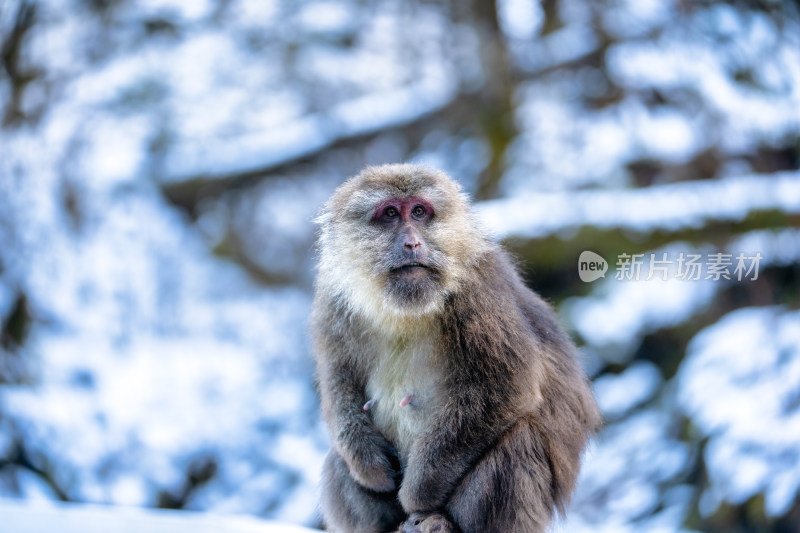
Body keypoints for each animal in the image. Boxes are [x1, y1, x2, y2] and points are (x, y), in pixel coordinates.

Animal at [310, 164, 596, 528]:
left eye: (419, 212)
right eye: (390, 214)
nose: (412, 242)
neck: (405, 308)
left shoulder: (478, 291)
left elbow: (503, 387)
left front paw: (419, 492)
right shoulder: (333, 302)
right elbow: (340, 382)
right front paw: (369, 465)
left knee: (520, 438)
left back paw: (441, 522)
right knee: (338, 459)